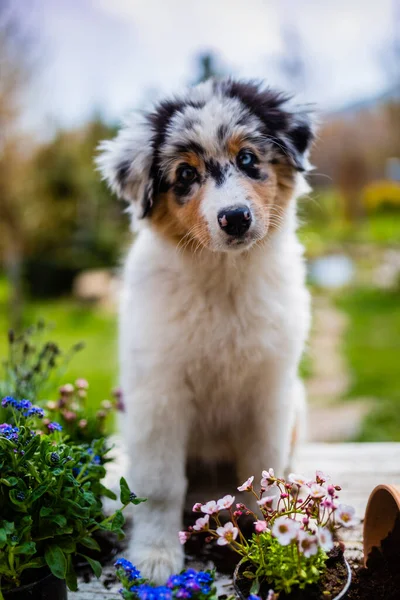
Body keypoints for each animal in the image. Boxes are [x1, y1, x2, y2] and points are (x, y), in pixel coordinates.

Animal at [96, 78, 312, 580]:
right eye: (184, 176)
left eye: (248, 158)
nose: (235, 217)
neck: (223, 280)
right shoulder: (158, 395)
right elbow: (159, 486)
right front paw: (155, 556)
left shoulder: (269, 392)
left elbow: (263, 474)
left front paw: (271, 540)